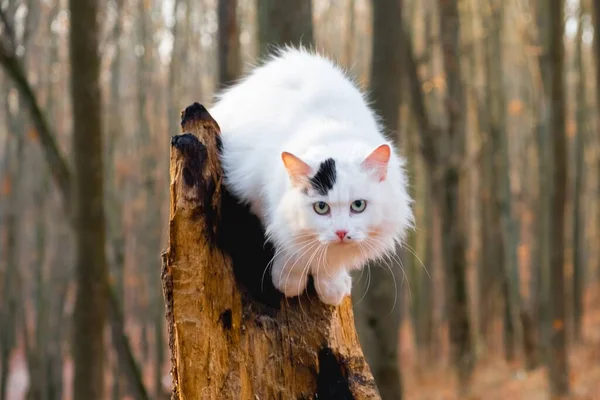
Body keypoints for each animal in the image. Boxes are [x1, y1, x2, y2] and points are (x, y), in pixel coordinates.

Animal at [207, 47, 412, 304]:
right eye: (321, 208)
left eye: (358, 206)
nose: (341, 232)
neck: (332, 133)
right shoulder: (256, 193)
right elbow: (291, 244)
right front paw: (289, 281)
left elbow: (331, 262)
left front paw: (331, 287)